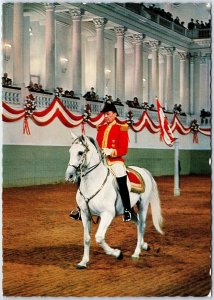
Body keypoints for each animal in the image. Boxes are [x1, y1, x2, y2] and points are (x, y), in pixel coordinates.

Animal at [64, 134, 163, 270]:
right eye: (70, 151)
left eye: (80, 152)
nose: (69, 176)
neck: (93, 182)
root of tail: (143, 170)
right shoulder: (85, 214)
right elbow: (86, 238)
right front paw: (83, 262)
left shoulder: (107, 214)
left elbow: (99, 238)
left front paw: (117, 254)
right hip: (130, 209)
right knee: (138, 223)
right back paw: (144, 245)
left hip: (143, 205)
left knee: (142, 225)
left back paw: (136, 253)